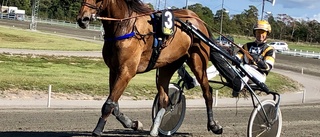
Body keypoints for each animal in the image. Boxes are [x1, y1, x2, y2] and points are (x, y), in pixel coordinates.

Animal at [77, 0, 222, 136]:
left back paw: (213, 125)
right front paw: (133, 124)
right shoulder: (113, 70)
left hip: (198, 63)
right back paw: (155, 129)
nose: (82, 19)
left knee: (207, 92)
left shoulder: (126, 71)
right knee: (164, 99)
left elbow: (109, 104)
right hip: (167, 65)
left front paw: (98, 129)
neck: (126, 26)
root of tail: (198, 20)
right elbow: (114, 104)